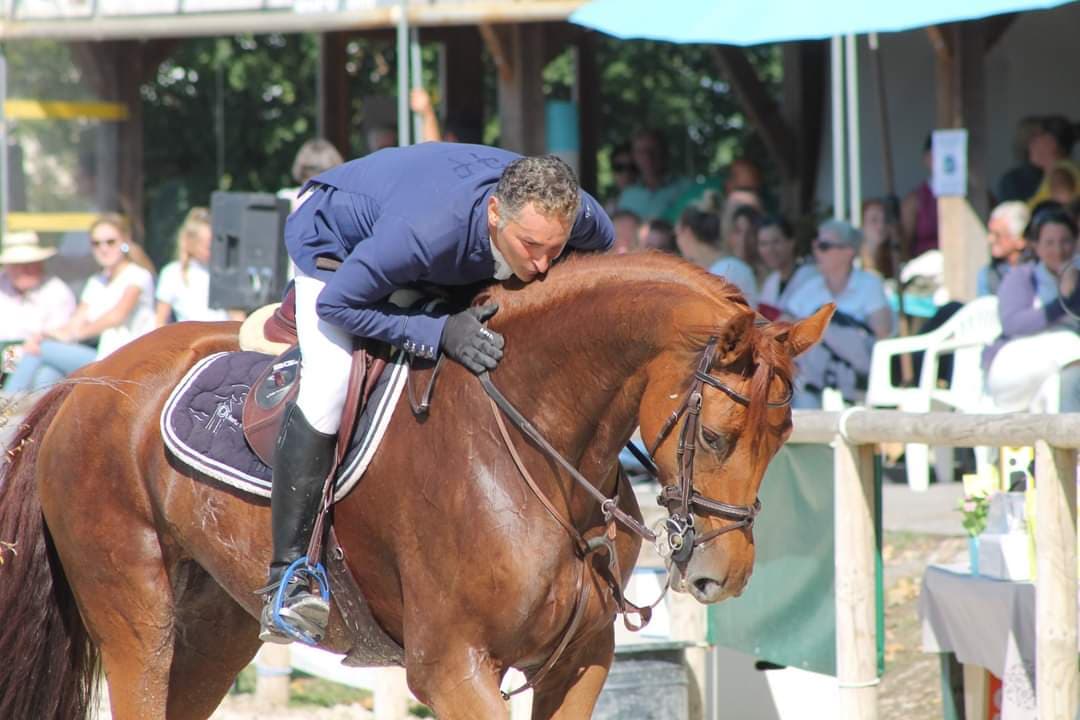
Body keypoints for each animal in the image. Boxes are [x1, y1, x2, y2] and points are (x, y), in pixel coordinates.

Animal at [0, 252, 830, 720]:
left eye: (785, 433)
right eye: (715, 436)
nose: (723, 574)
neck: (538, 441)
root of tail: (84, 382)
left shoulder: (580, 662)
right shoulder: (452, 667)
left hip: (215, 627)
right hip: (138, 615)